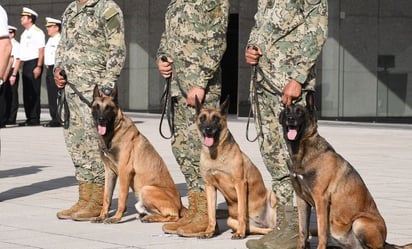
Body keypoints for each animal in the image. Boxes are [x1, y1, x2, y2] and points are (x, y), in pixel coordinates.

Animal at [91, 84, 187, 225]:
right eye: (96, 107)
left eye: (108, 108)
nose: (100, 120)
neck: (113, 132)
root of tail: (180, 205)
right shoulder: (110, 172)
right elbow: (106, 197)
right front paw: (102, 215)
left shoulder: (124, 172)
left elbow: (121, 197)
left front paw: (116, 218)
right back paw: (145, 216)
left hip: (147, 189)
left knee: (173, 216)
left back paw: (150, 218)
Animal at [194, 96, 276, 240]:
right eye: (202, 118)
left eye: (215, 118)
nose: (208, 129)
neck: (215, 154)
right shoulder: (209, 186)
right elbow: (211, 214)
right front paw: (209, 231)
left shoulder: (240, 184)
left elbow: (242, 211)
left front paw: (240, 233)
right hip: (230, 220)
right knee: (258, 230)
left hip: (272, 196)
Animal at [280, 92, 412, 249]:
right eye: (287, 112)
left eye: (300, 112)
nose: (290, 119)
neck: (302, 151)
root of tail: (386, 242)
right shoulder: (301, 199)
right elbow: (303, 231)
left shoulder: (321, 199)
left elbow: (322, 232)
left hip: (359, 222)